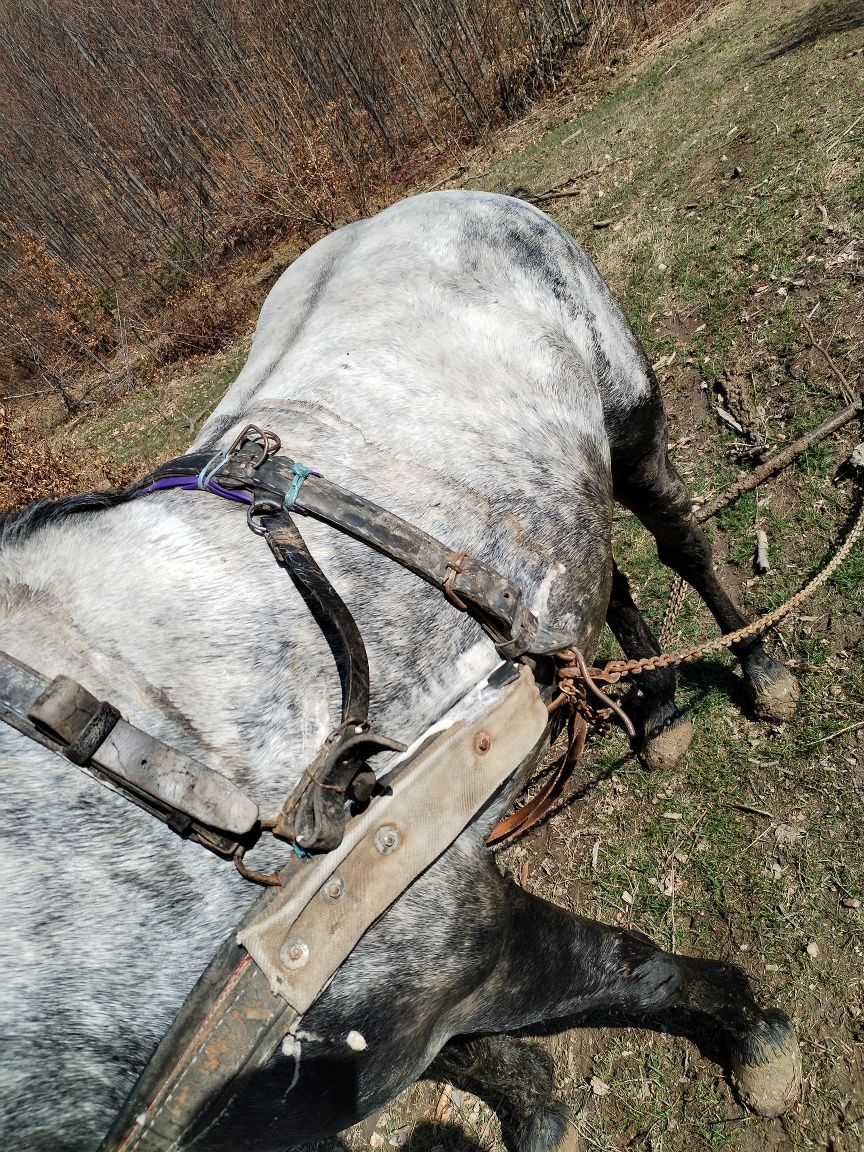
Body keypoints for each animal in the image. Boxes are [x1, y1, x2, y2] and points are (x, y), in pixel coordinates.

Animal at [0, 193, 801, 1147]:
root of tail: (446, 199)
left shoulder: (452, 929)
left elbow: (636, 970)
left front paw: (755, 1037)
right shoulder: (337, 1036)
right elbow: (476, 1058)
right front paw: (539, 1107)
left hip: (629, 414)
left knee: (680, 537)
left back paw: (762, 667)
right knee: (607, 575)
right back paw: (659, 714)